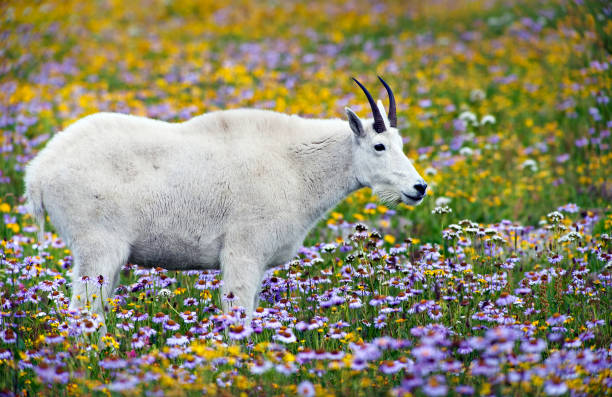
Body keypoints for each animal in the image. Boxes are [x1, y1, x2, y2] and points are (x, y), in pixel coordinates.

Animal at [22, 76, 426, 324]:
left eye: (401, 144)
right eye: (379, 146)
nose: (419, 188)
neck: (297, 167)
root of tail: (39, 172)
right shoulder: (243, 252)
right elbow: (238, 317)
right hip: (97, 248)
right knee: (82, 314)